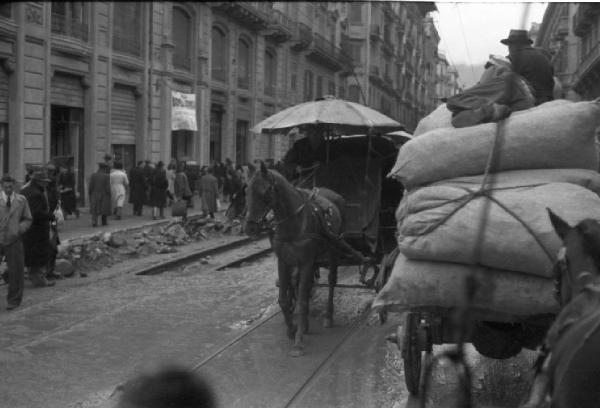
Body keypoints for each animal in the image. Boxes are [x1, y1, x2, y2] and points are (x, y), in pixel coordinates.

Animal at [244, 161, 350, 356]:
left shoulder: (306, 261)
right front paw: (291, 329)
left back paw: (328, 316)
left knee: (331, 281)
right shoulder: (284, 261)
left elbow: (301, 301)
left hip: (334, 248)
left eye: (265, 191)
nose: (250, 228)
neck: (293, 221)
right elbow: (284, 299)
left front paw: (299, 340)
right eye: (246, 190)